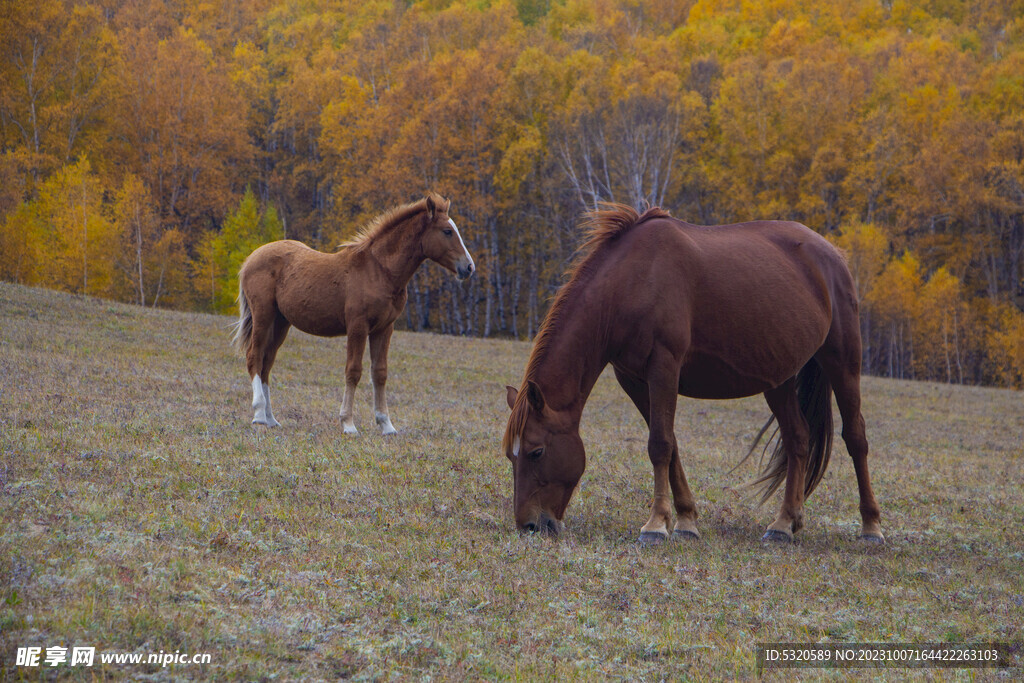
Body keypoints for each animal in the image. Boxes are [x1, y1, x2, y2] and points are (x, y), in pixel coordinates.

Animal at [234, 193, 473, 432]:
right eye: (447, 231)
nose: (469, 267)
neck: (379, 271)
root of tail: (249, 259)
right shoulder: (358, 326)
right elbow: (353, 371)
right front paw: (348, 423)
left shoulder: (384, 329)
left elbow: (380, 373)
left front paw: (386, 425)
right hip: (263, 315)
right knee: (254, 356)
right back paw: (259, 415)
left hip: (281, 322)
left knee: (267, 363)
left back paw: (271, 418)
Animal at [499, 202, 884, 544]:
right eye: (510, 455)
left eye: (536, 452)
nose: (530, 525)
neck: (633, 281)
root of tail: (832, 254)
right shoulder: (634, 380)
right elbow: (671, 446)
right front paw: (685, 521)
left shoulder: (664, 367)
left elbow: (660, 444)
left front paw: (655, 526)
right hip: (778, 379)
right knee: (798, 440)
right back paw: (784, 524)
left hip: (842, 361)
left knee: (856, 438)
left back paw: (871, 528)